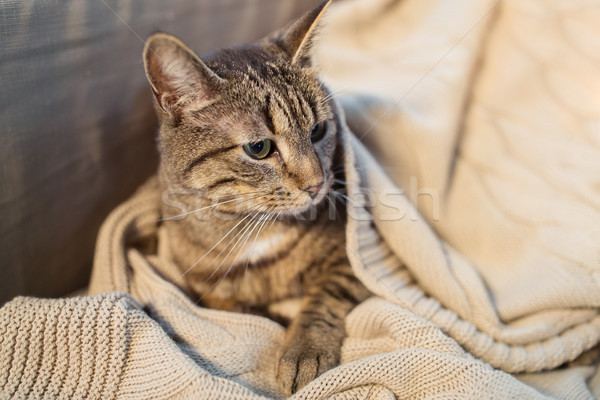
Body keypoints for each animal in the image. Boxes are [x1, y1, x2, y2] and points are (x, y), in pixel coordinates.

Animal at [145, 0, 370, 394]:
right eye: (259, 148)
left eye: (318, 130)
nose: (318, 185)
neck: (256, 229)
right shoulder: (201, 285)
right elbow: (234, 308)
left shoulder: (349, 259)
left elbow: (325, 298)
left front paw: (304, 349)